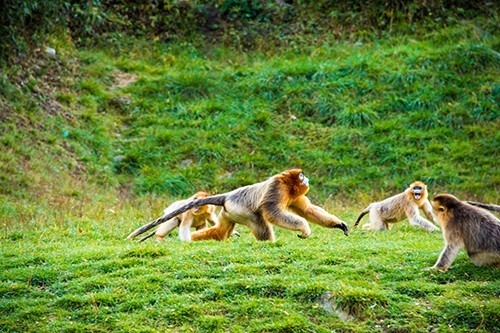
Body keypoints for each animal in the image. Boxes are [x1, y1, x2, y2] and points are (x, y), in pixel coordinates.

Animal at [127, 169, 350, 241]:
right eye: (301, 175)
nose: (307, 178)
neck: (288, 185)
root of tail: (228, 196)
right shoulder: (278, 187)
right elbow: (272, 212)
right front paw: (304, 229)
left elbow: (307, 210)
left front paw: (339, 224)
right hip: (241, 209)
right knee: (261, 224)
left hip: (229, 212)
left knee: (219, 232)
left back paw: (192, 239)